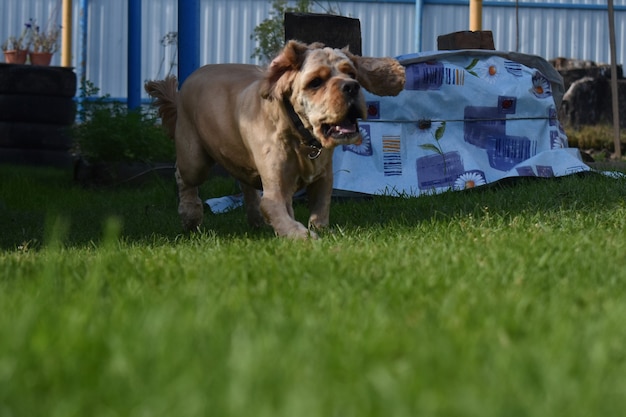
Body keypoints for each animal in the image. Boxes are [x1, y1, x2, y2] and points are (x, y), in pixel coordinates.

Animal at [144, 41, 402, 239]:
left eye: (351, 74)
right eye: (315, 82)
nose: (351, 86)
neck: (301, 137)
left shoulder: (323, 178)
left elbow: (320, 208)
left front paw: (320, 230)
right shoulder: (277, 188)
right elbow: (279, 211)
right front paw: (302, 236)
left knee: (245, 184)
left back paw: (255, 219)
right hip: (194, 161)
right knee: (183, 177)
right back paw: (191, 216)